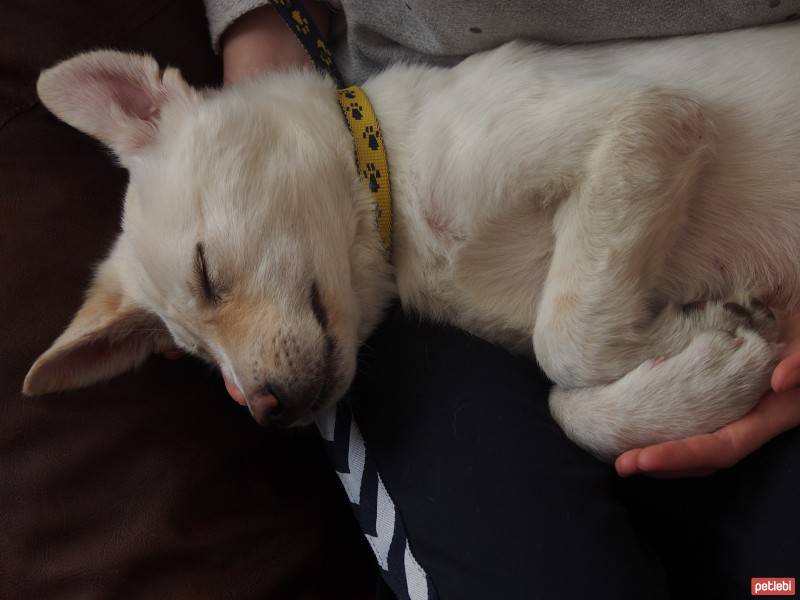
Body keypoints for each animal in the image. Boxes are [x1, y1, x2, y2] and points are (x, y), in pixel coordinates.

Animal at [25, 23, 800, 462]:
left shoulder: (650, 117)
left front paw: (702, 337)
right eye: (196, 359)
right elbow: (567, 405)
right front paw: (713, 360)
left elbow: (566, 344)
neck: (395, 177)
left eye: (206, 272)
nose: (265, 411)